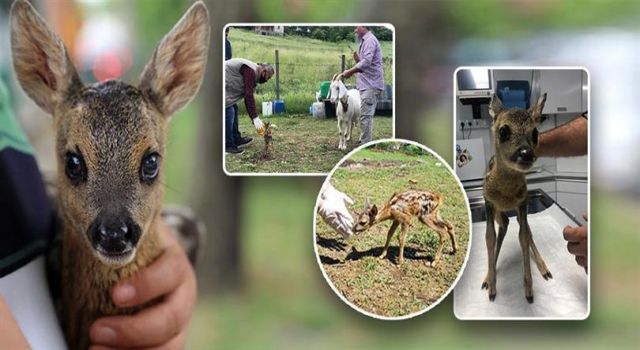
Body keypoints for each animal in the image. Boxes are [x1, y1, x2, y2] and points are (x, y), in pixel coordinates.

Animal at [482, 93, 552, 304]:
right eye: (503, 131)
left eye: (535, 133)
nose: (526, 153)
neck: (506, 194)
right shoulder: (488, 202)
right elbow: (489, 237)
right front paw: (492, 288)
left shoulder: (523, 203)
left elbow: (523, 236)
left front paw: (529, 291)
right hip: (498, 212)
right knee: (504, 225)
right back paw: (488, 278)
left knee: (526, 231)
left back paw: (544, 269)